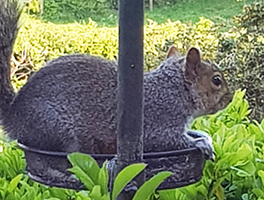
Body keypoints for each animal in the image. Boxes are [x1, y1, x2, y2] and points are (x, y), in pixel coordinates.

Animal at [0, 0, 231, 158]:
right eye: (216, 80)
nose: (229, 98)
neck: (174, 89)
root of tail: (13, 116)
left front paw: (204, 138)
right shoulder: (160, 121)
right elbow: (168, 140)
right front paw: (201, 144)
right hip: (54, 126)